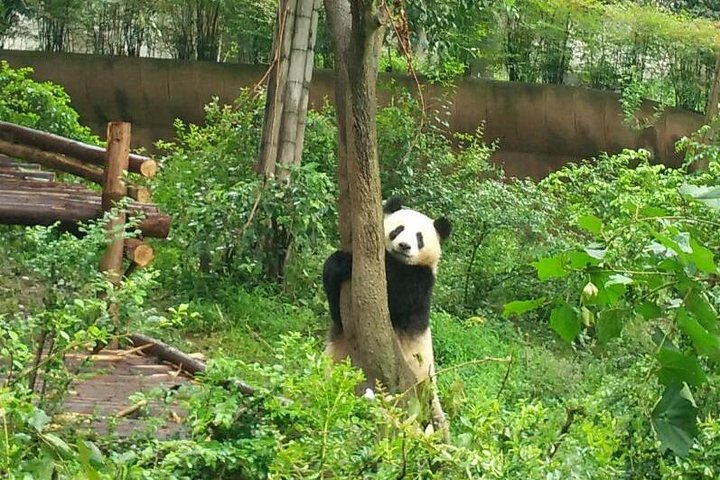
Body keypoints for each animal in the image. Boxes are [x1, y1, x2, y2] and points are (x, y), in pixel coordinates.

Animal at [322, 196, 452, 383]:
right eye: (398, 229)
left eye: (419, 237)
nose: (404, 245)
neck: (399, 261)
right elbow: (337, 311)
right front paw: (339, 264)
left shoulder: (420, 281)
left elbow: (395, 301)